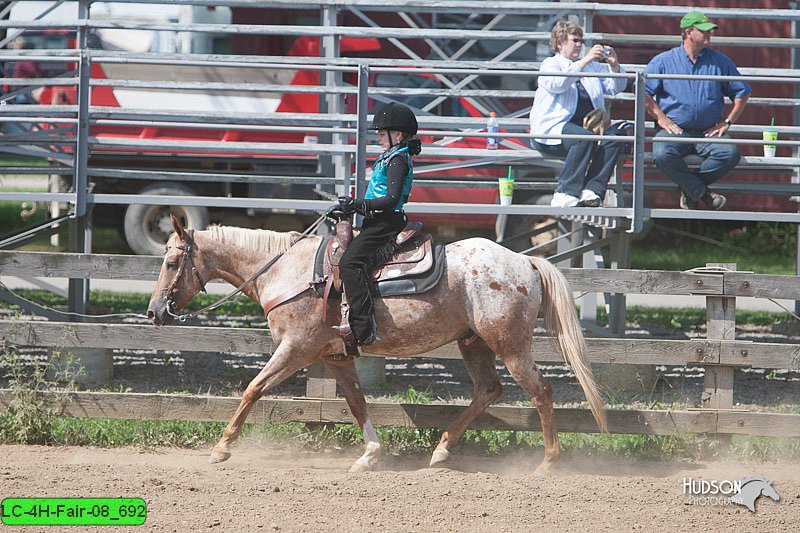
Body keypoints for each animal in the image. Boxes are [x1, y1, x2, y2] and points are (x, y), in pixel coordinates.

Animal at [147, 214, 608, 472]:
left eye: (170, 262)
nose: (153, 312)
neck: (288, 271)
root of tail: (524, 261)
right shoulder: (334, 356)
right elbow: (356, 402)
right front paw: (369, 454)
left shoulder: (295, 349)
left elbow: (253, 389)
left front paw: (221, 449)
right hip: (473, 343)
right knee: (487, 391)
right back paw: (441, 451)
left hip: (510, 346)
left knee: (540, 390)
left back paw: (547, 463)